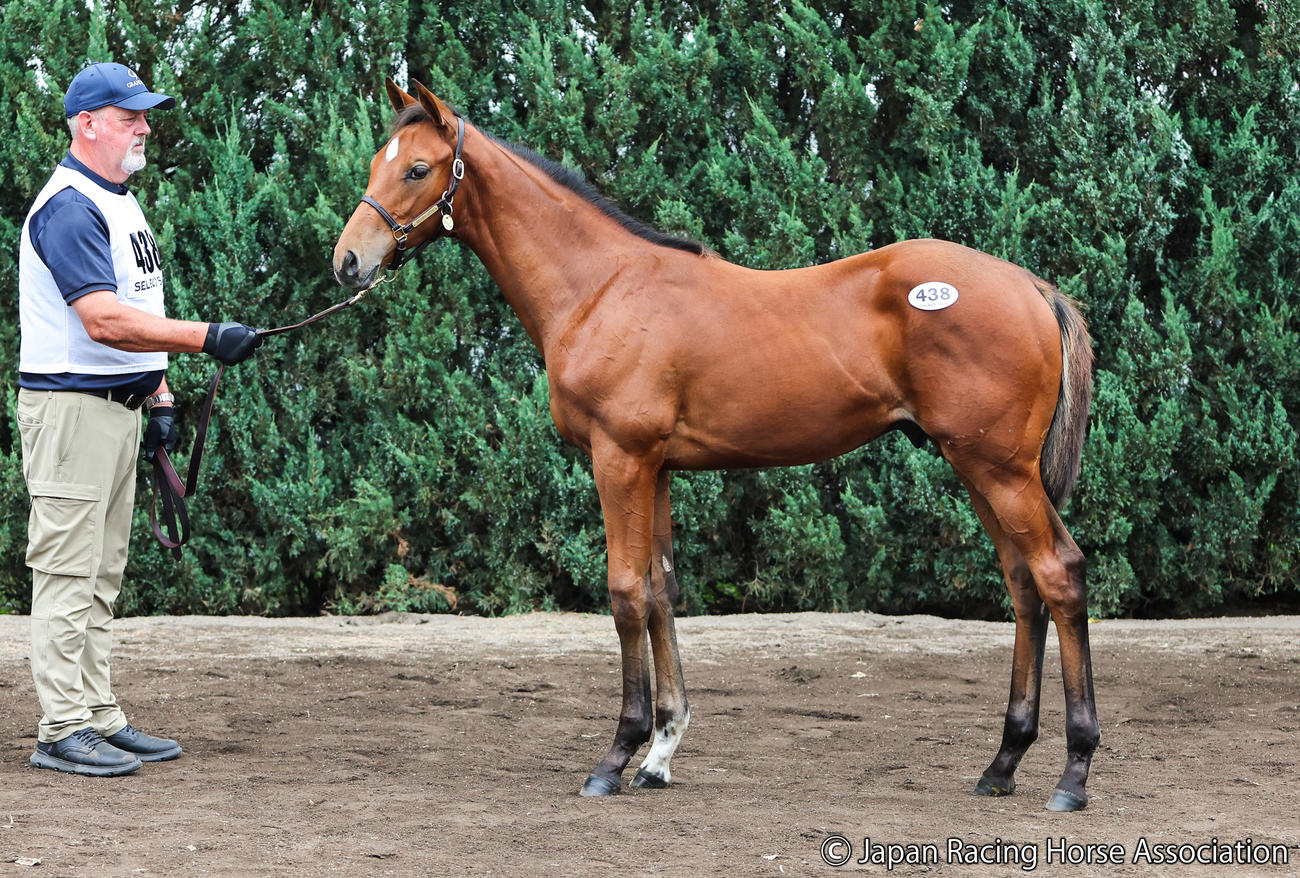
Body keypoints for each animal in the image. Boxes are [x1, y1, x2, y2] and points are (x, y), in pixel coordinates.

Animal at [332, 80, 1099, 812]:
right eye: (376, 163)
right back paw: (1002, 764)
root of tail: (1033, 287)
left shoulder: (619, 459)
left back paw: (1074, 772)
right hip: (977, 467)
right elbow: (662, 591)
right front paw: (660, 753)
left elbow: (625, 594)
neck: (602, 288)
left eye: (418, 169)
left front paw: (616, 757)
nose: (347, 262)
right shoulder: (658, 467)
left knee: (1058, 574)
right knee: (1023, 585)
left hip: (999, 470)